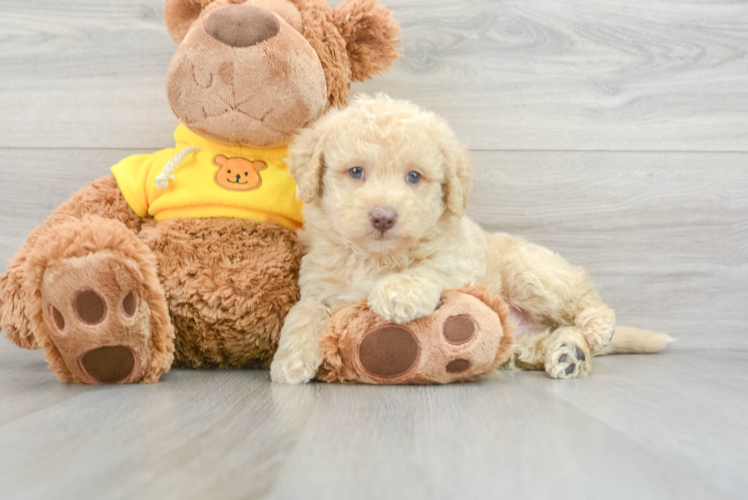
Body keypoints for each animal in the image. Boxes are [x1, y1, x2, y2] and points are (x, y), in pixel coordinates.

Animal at [272, 94, 668, 384]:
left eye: (414, 177)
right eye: (356, 172)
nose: (384, 216)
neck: (376, 257)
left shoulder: (459, 262)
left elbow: (429, 268)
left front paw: (397, 291)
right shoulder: (318, 283)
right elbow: (303, 311)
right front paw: (290, 359)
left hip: (532, 274)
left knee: (586, 301)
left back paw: (594, 330)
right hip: (521, 338)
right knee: (550, 337)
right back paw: (569, 353)